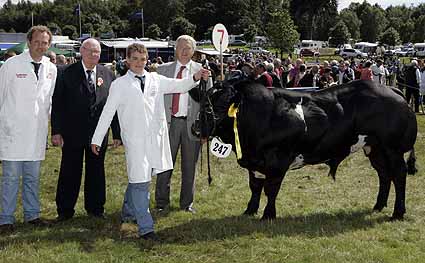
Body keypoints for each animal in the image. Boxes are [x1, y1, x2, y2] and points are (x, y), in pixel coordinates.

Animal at [197, 79, 416, 222]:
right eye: (204, 102)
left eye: (224, 104)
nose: (196, 128)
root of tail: (389, 88)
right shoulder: (254, 162)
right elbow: (255, 186)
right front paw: (249, 210)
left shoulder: (278, 159)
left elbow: (271, 188)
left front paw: (268, 215)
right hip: (375, 148)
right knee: (384, 174)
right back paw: (378, 206)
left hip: (393, 148)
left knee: (399, 175)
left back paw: (397, 213)